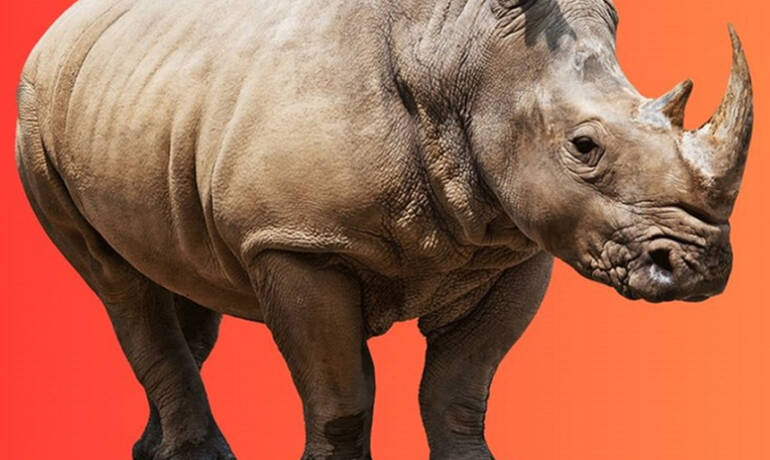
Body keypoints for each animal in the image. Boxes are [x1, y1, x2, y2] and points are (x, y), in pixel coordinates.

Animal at [15, 0, 753, 458]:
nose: (698, 268)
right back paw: (197, 454)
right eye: (584, 147)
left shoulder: (518, 252)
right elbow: (341, 399)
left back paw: (153, 450)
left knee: (180, 276)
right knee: (117, 282)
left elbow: (460, 391)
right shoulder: (295, 240)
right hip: (32, 111)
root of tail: (59, 26)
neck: (463, 59)